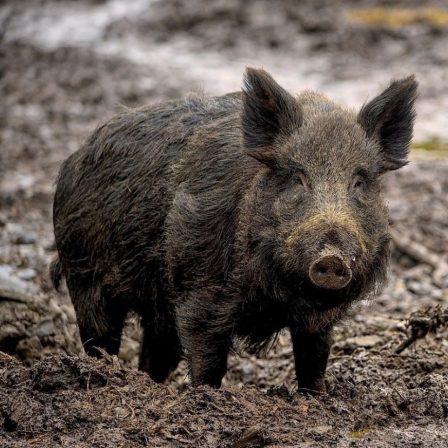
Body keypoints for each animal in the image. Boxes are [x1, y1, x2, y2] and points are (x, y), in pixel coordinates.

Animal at [51, 68, 417, 392]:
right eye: (297, 177)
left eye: (359, 181)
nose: (332, 258)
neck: (275, 295)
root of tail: (74, 158)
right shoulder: (200, 288)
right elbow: (207, 357)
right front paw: (206, 397)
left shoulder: (319, 321)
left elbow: (314, 359)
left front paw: (316, 397)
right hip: (84, 272)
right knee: (99, 337)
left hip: (156, 304)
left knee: (156, 351)